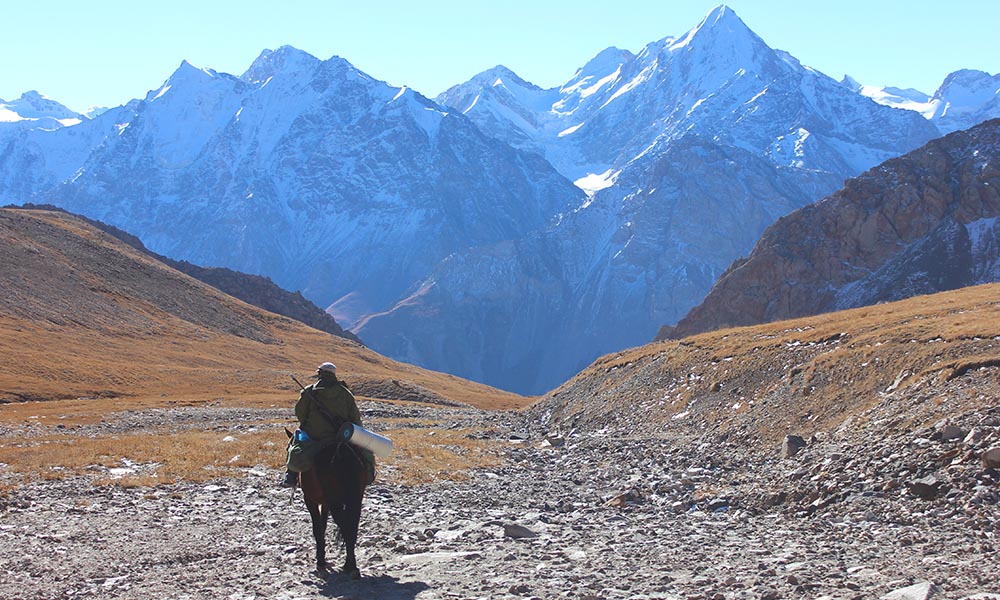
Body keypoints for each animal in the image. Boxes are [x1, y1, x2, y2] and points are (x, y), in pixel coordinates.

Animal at [286, 426, 372, 576]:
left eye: (287, 449)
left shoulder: (311, 500)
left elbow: (317, 528)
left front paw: (320, 560)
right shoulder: (325, 503)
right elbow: (323, 526)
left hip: (335, 502)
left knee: (346, 527)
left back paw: (350, 566)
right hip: (356, 499)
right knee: (352, 527)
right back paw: (350, 565)